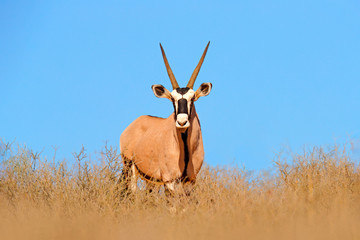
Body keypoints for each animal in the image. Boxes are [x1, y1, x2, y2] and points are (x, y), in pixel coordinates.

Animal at [119, 41, 212, 195]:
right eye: (172, 99)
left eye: (192, 98)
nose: (182, 122)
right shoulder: (169, 181)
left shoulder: (190, 181)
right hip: (130, 167)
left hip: (150, 179)